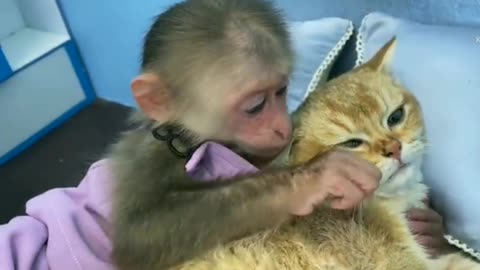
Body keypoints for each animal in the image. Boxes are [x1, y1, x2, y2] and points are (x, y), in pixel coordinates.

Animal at [109, 0, 382, 270]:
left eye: (281, 91)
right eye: (256, 107)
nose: (283, 126)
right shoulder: (149, 157)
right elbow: (138, 234)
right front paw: (312, 178)